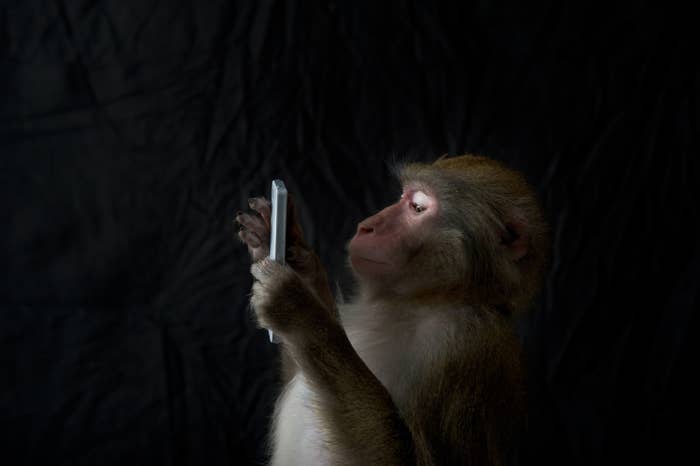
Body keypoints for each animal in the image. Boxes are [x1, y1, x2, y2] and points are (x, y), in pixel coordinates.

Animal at [235, 155, 548, 464]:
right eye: (400, 198)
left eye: (418, 207)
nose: (367, 226)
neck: (416, 303)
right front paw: (291, 254)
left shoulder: (463, 342)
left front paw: (300, 311)